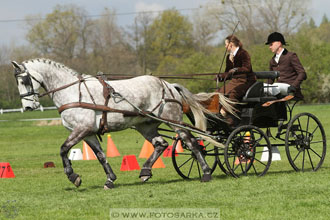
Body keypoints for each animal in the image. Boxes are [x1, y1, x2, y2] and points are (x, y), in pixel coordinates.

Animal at [11, 58, 233, 189]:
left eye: (24, 80)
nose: (28, 107)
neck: (73, 92)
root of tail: (168, 84)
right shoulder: (88, 133)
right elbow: (100, 156)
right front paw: (110, 179)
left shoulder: (81, 129)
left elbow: (63, 149)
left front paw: (73, 176)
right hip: (146, 125)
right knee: (161, 144)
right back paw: (145, 172)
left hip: (174, 121)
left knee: (192, 143)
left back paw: (206, 173)